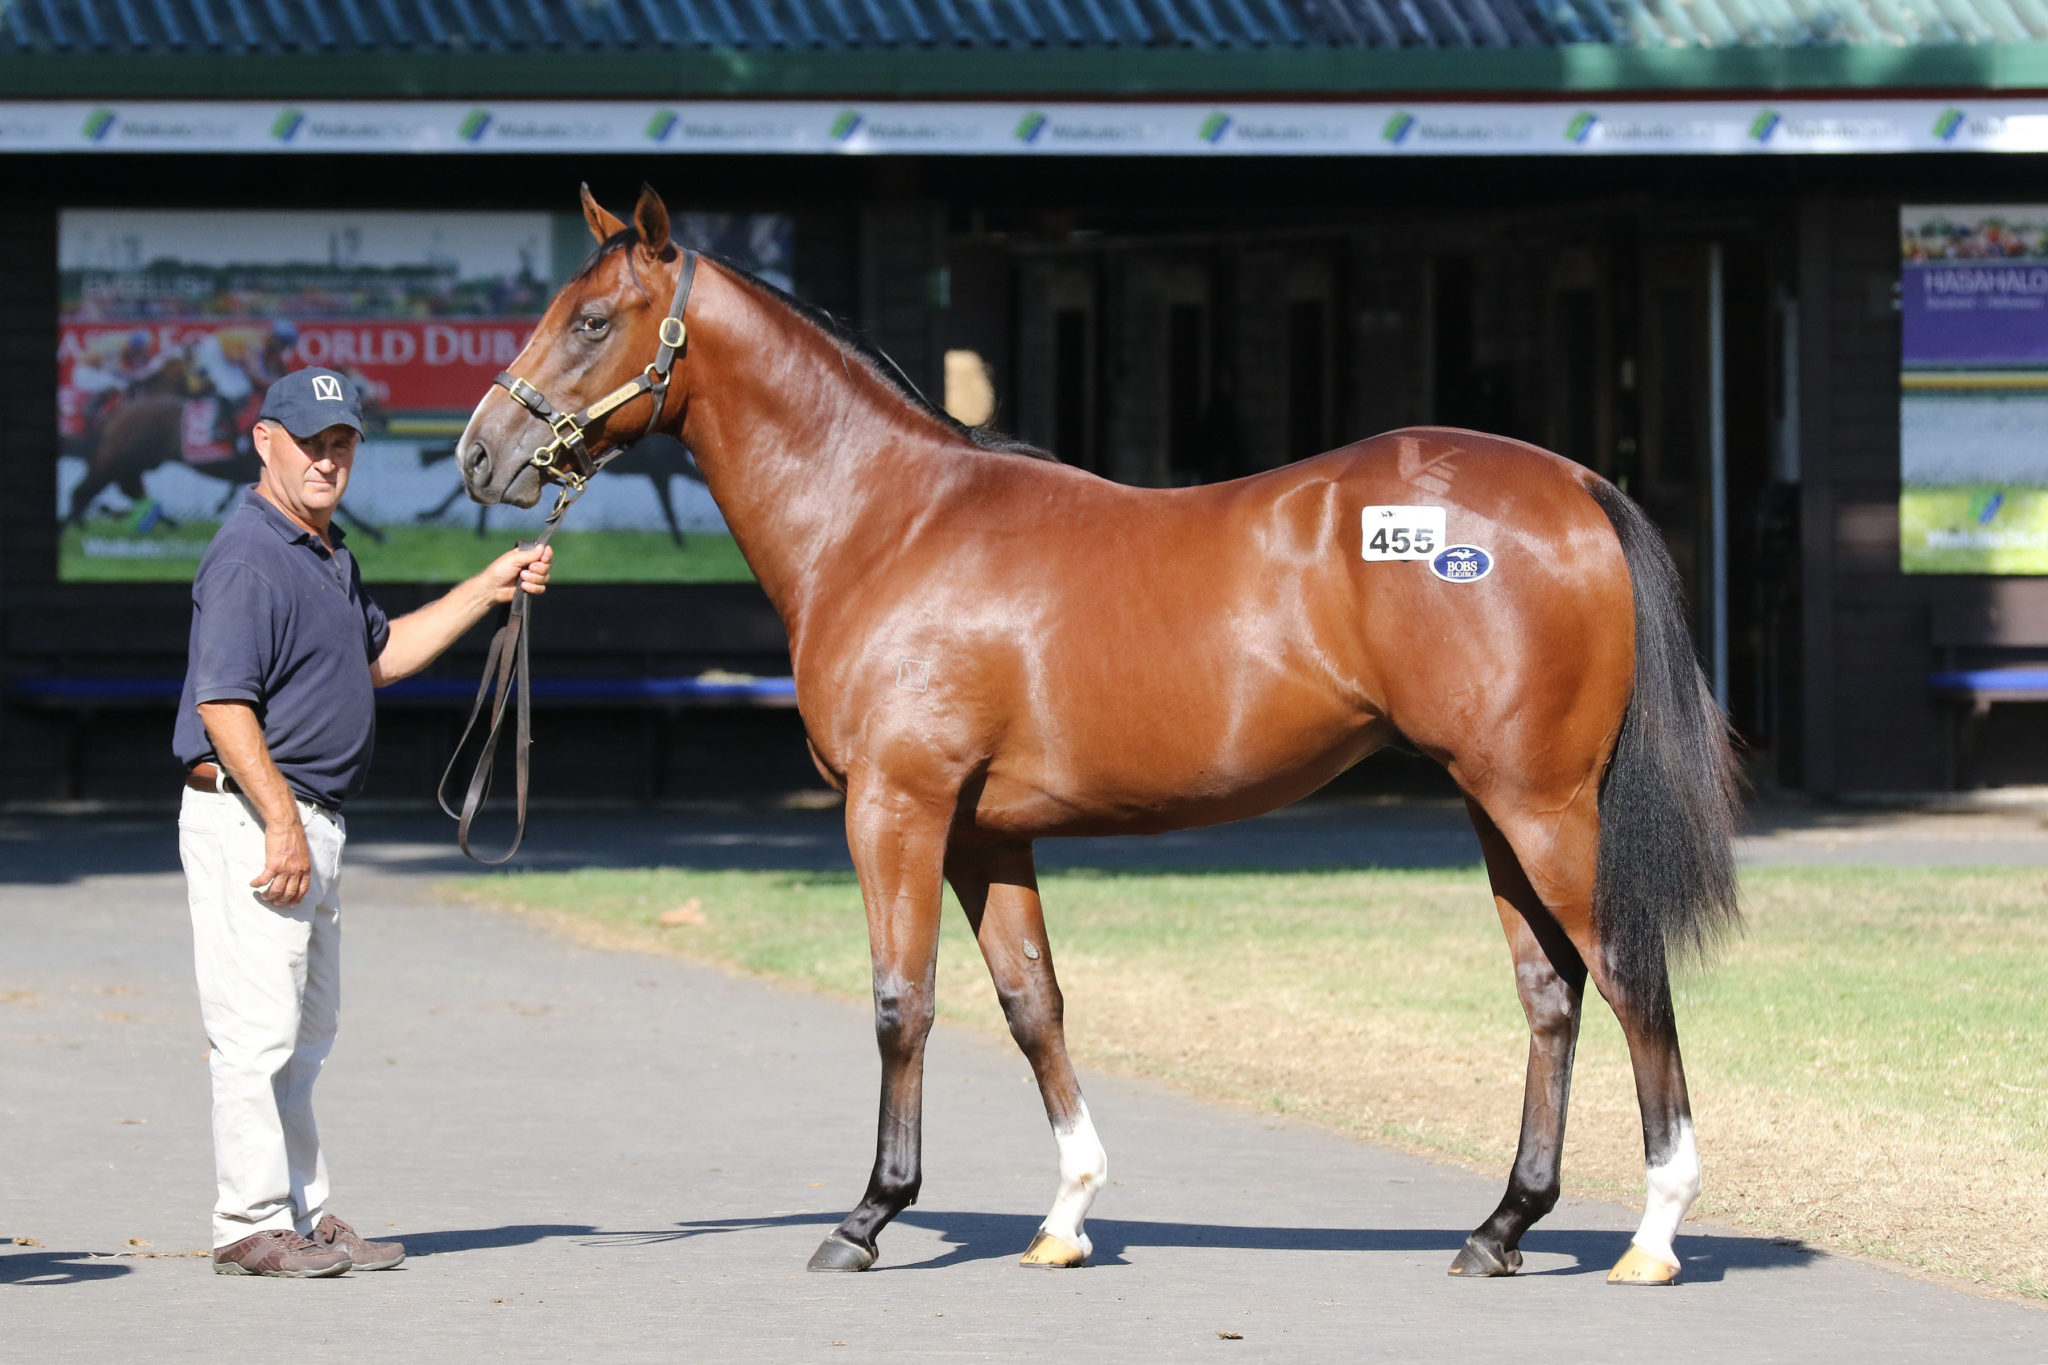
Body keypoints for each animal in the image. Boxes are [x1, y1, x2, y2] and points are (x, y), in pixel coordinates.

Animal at [456, 187, 1736, 1285]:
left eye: (592, 321)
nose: (480, 454)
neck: (889, 524)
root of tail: (1572, 484)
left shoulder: (896, 808)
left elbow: (899, 1000)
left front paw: (867, 1216)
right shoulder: (985, 834)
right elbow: (1033, 1005)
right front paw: (1066, 1214)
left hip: (1539, 808)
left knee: (1626, 977)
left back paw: (1654, 1232)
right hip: (1493, 809)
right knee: (1549, 994)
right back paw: (1500, 1226)